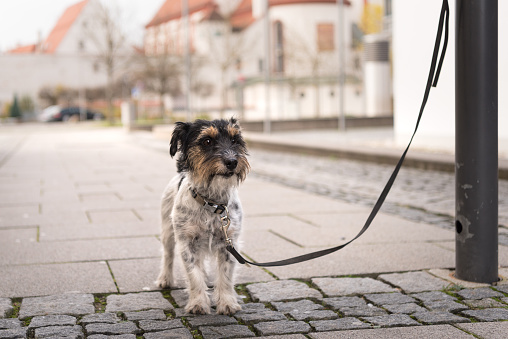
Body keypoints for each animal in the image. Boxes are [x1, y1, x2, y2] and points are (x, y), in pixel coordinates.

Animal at [155, 117, 250, 316]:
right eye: (207, 141)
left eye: (235, 140)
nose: (232, 161)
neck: (212, 203)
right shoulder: (186, 243)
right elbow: (194, 275)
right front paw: (198, 303)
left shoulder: (229, 243)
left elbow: (225, 276)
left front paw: (227, 303)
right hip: (167, 231)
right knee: (168, 255)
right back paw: (165, 279)